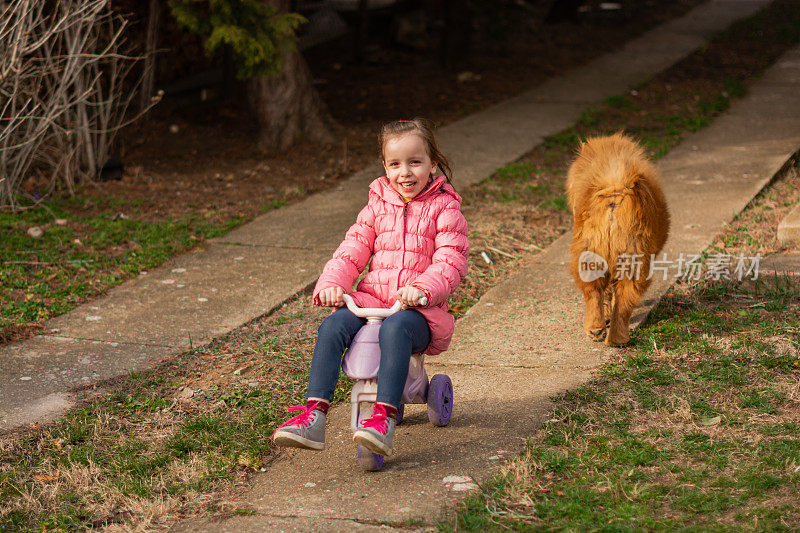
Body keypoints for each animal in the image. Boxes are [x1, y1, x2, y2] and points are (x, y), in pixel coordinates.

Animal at [564, 133, 672, 344]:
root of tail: (615, 190)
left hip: (596, 257)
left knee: (596, 294)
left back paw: (598, 332)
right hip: (630, 260)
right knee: (622, 299)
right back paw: (615, 339)